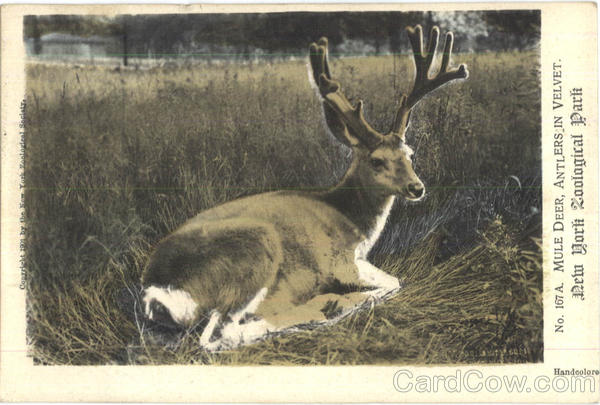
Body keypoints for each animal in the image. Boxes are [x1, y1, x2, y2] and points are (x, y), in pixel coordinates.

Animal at [141, 25, 468, 348]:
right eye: (377, 161)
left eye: (410, 154)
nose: (417, 188)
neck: (351, 219)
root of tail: (155, 288)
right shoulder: (343, 262)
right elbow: (395, 281)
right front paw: (343, 299)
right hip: (254, 251)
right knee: (218, 335)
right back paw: (322, 307)